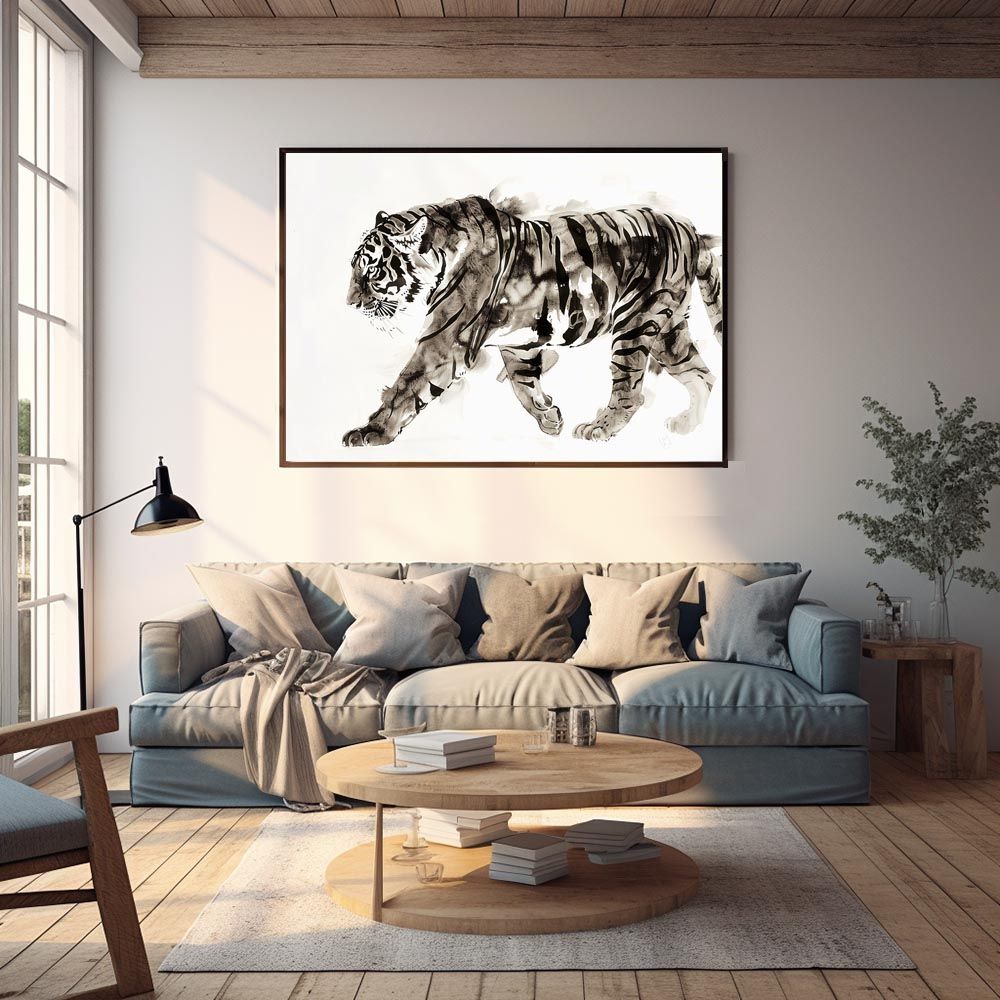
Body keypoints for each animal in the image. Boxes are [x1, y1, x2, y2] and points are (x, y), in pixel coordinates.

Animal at [343, 195, 722, 448]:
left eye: (372, 270)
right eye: (353, 267)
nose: (350, 303)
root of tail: (689, 228)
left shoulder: (444, 341)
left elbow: (407, 386)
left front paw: (372, 432)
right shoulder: (519, 343)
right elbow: (523, 385)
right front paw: (549, 416)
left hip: (636, 322)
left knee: (631, 389)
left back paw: (600, 428)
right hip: (669, 332)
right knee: (702, 375)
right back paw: (688, 426)